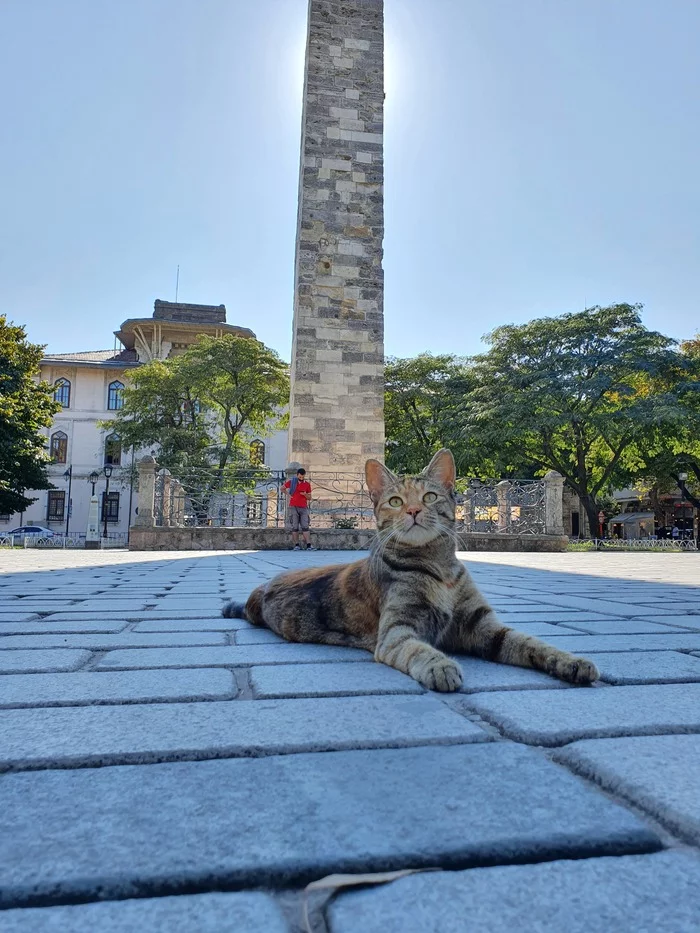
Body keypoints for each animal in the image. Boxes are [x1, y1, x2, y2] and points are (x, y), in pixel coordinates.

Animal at [221, 448, 600, 688]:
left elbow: (531, 643)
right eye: (395, 501)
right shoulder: (396, 632)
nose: (414, 511)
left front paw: (569, 660)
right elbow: (418, 649)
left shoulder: (485, 627)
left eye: (430, 497)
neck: (438, 567)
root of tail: (259, 592)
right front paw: (440, 665)